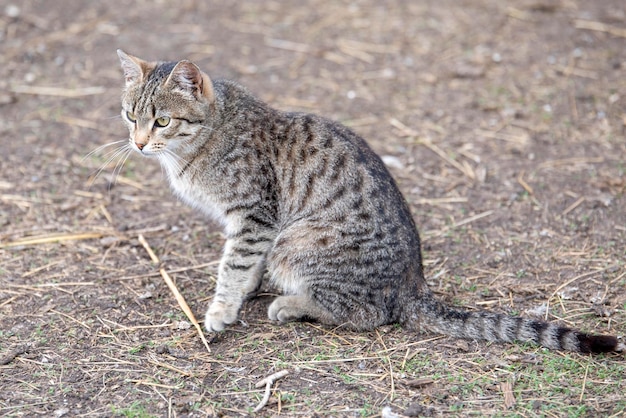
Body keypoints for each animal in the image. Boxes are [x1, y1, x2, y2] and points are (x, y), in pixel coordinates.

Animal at [116, 49, 620, 356]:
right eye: (129, 115)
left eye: (162, 121)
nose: (138, 144)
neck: (204, 137)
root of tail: (414, 287)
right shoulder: (249, 224)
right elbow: (245, 265)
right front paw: (243, 295)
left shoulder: (256, 216)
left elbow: (235, 266)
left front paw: (222, 310)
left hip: (297, 241)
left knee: (366, 313)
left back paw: (293, 304)